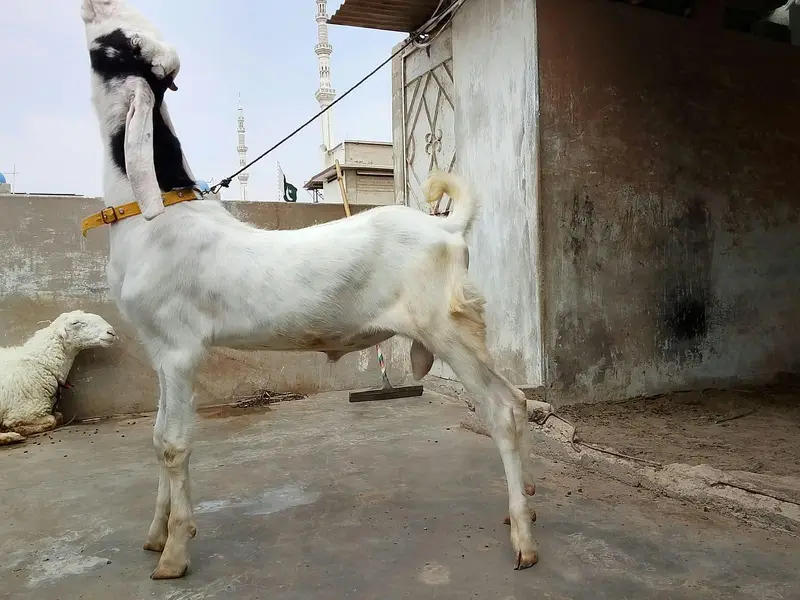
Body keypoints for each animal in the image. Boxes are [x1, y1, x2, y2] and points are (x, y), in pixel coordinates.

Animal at [0, 310, 117, 445]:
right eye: (75, 322)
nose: (111, 332)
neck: (41, 363)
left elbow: (59, 416)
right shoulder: (25, 411)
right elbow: (52, 420)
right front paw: (15, 428)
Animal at [80, 0, 537, 579]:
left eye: (116, 46)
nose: (93, 7)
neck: (152, 214)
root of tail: (448, 227)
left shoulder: (181, 350)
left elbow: (176, 444)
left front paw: (174, 554)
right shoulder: (159, 349)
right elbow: (157, 435)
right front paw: (155, 533)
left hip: (448, 327)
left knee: (505, 408)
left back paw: (523, 538)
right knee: (516, 401)